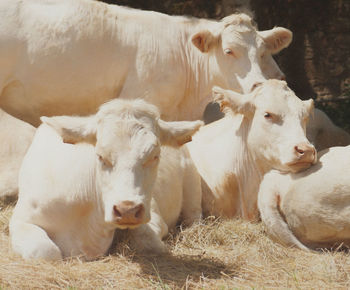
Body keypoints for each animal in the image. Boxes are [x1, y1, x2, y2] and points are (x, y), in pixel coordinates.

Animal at [8, 99, 202, 260]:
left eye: (155, 156)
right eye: (100, 156)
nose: (127, 210)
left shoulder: (150, 211)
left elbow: (148, 241)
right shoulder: (21, 219)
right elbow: (45, 252)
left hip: (192, 181)